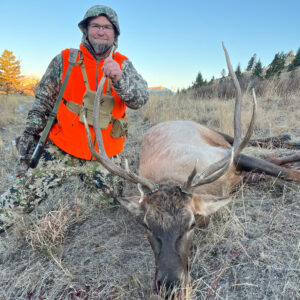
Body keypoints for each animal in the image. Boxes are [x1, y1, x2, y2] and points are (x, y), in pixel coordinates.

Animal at [82, 42, 300, 296]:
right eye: (146, 225)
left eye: (191, 224)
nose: (169, 285)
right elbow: (274, 168)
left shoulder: (226, 156)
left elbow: (290, 174)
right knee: (273, 157)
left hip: (216, 135)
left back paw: (288, 138)